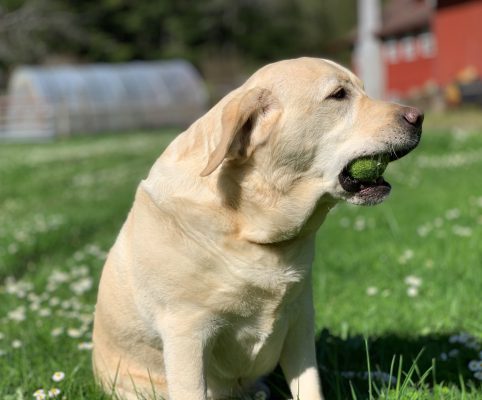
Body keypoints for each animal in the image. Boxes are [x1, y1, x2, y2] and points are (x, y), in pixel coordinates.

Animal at [92, 57, 424, 400]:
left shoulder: (300, 321)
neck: (252, 225)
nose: (418, 117)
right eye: (338, 95)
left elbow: (310, 386)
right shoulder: (186, 333)